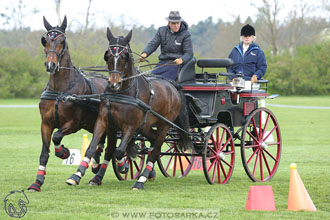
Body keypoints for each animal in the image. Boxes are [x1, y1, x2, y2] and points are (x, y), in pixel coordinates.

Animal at [27, 16, 107, 191]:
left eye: (62, 41)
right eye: (45, 40)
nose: (51, 65)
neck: (60, 90)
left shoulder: (74, 123)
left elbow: (57, 136)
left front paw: (64, 152)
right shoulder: (46, 123)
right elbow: (44, 152)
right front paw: (37, 181)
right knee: (101, 142)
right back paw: (96, 164)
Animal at [65, 27, 192, 189]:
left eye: (124, 56)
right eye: (107, 56)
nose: (114, 84)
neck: (122, 93)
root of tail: (172, 85)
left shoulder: (131, 126)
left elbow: (119, 151)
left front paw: (123, 166)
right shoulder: (105, 122)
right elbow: (95, 148)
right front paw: (78, 176)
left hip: (164, 125)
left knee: (156, 149)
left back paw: (141, 180)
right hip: (145, 126)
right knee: (153, 141)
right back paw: (150, 173)